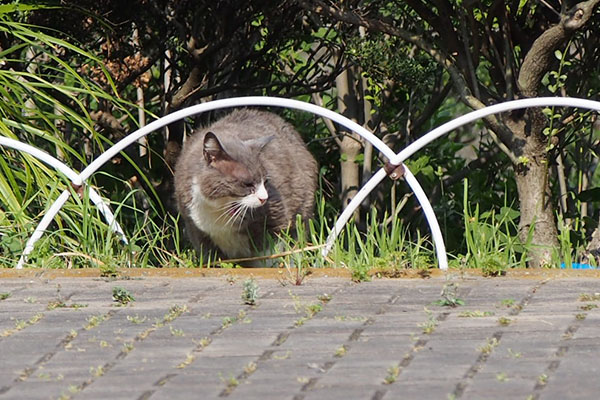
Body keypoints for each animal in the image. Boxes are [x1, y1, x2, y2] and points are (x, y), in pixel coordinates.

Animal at [173, 108, 318, 262]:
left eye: (265, 181)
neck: (219, 208)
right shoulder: (195, 229)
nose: (264, 198)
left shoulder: (274, 218)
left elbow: (268, 255)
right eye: (247, 183)